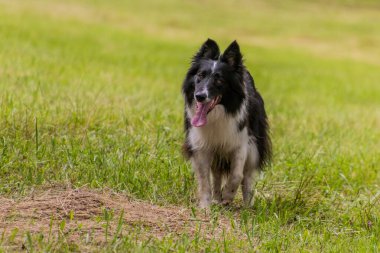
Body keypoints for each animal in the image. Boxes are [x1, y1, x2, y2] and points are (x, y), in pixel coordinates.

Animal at [181, 38, 270, 208]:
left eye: (219, 80)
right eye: (200, 75)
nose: (199, 96)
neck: (217, 114)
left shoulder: (241, 144)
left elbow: (236, 175)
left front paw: (228, 195)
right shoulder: (201, 145)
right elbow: (204, 180)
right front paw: (205, 206)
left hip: (255, 147)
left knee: (247, 177)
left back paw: (247, 205)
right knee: (216, 175)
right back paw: (217, 198)